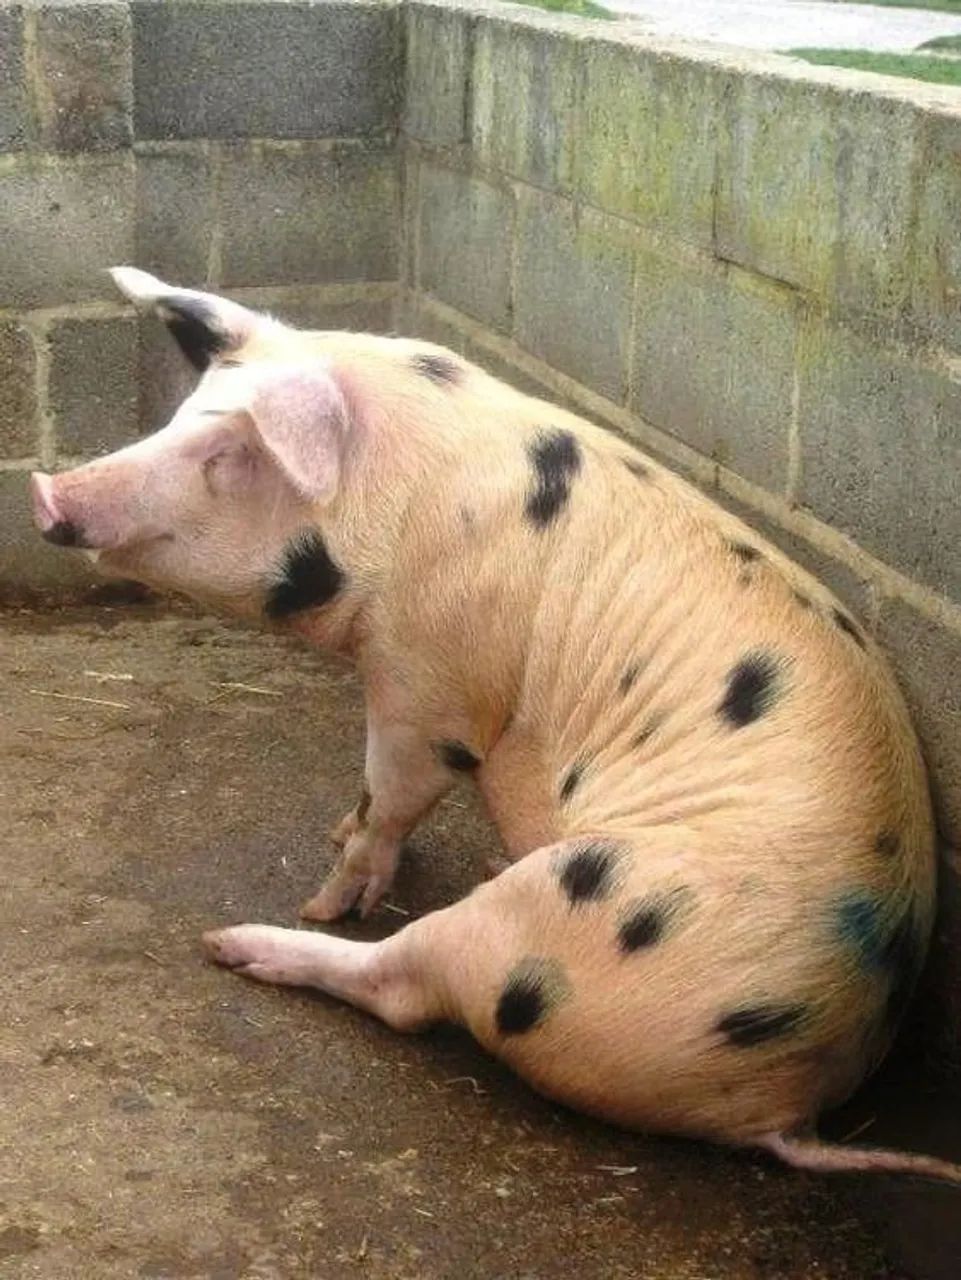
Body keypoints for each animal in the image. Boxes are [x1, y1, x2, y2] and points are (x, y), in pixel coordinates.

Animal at [30, 267, 961, 1183]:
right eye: (181, 417)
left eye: (226, 453)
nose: (47, 493)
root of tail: (788, 1107)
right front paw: (335, 831)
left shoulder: (429, 682)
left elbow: (393, 796)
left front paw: (333, 889)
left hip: (562, 917)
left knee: (404, 986)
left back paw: (238, 941)